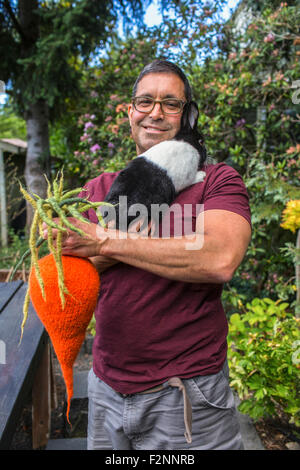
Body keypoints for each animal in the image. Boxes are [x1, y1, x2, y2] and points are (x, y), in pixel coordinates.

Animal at [102, 100, 206, 229]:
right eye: (201, 142)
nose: (206, 155)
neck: (188, 142)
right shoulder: (186, 177)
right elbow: (191, 180)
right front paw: (202, 175)